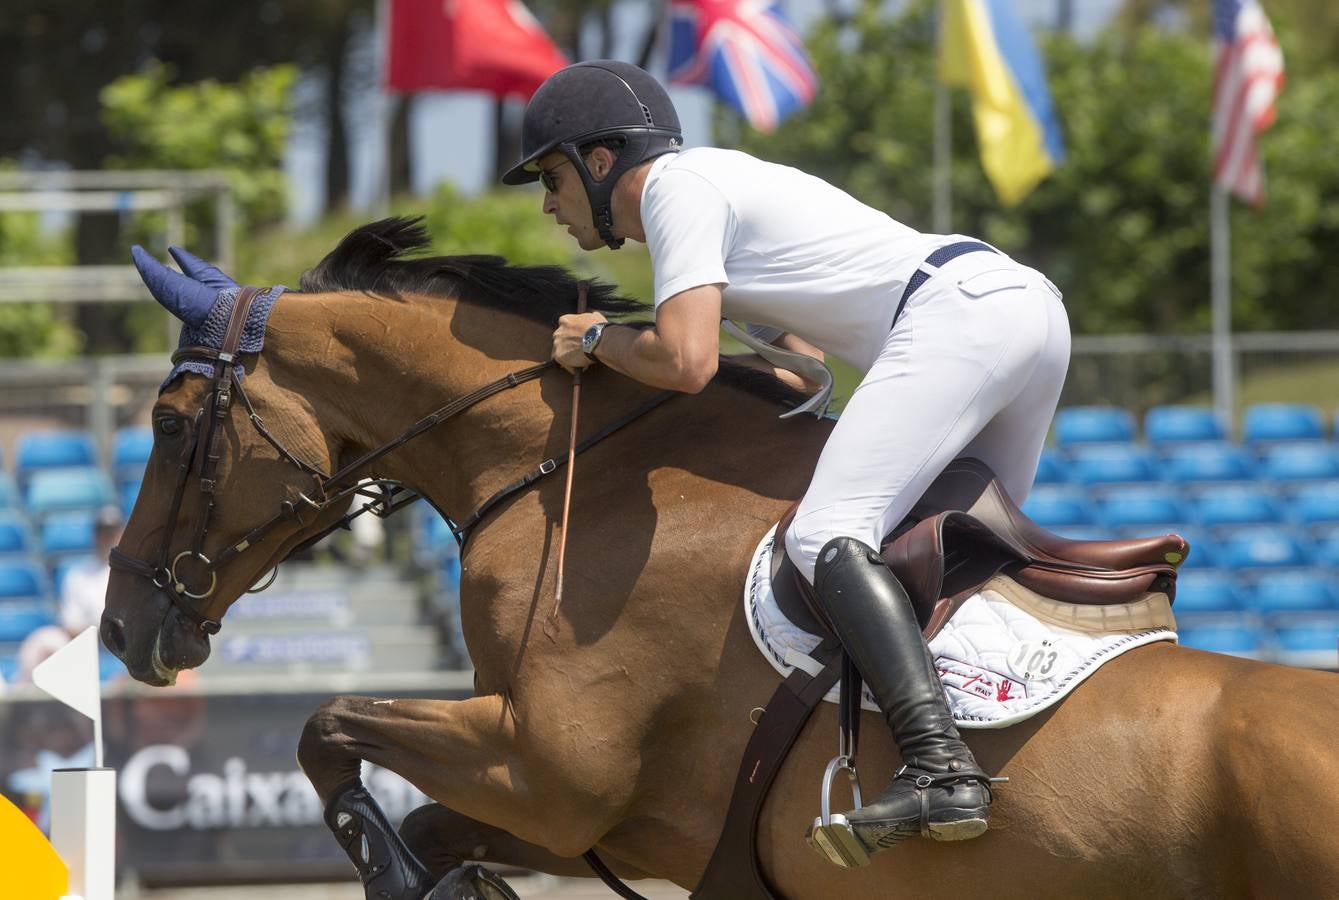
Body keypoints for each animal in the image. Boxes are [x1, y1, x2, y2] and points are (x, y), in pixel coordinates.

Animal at [101, 219, 1339, 900]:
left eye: (168, 423)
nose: (120, 627)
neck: (573, 474)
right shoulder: (595, 817)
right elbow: (422, 811)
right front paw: (443, 878)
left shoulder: (545, 765)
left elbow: (326, 729)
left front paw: (400, 873)